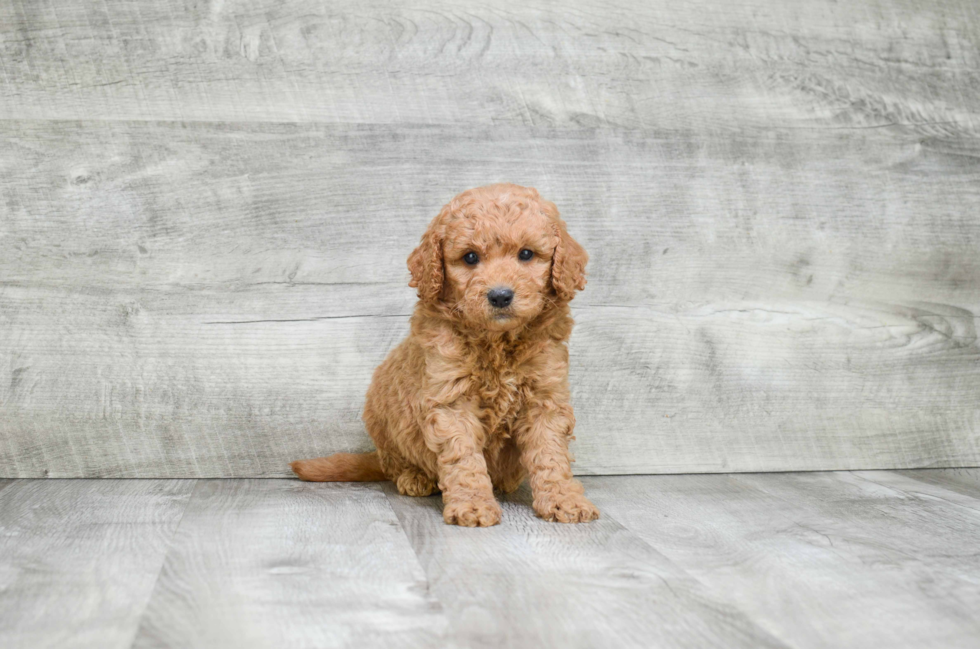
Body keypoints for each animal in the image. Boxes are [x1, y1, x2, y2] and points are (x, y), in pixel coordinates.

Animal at [290, 184, 596, 528]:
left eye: (527, 254)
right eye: (470, 257)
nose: (500, 296)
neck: (497, 341)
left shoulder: (545, 396)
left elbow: (550, 454)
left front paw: (563, 499)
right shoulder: (451, 398)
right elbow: (463, 457)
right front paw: (473, 504)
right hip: (383, 419)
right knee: (395, 463)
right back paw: (415, 477)